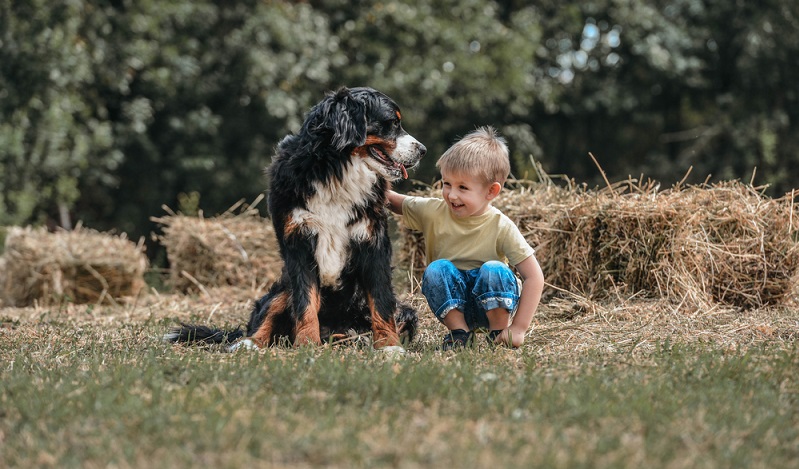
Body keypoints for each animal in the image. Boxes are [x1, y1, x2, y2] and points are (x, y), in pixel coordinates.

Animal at [162, 87, 424, 352]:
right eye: (392, 123)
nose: (422, 150)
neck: (336, 173)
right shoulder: (297, 243)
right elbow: (305, 302)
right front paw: (307, 344)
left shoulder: (373, 241)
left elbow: (381, 302)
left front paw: (389, 346)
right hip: (280, 290)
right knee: (265, 320)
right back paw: (250, 343)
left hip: (405, 310)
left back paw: (351, 337)